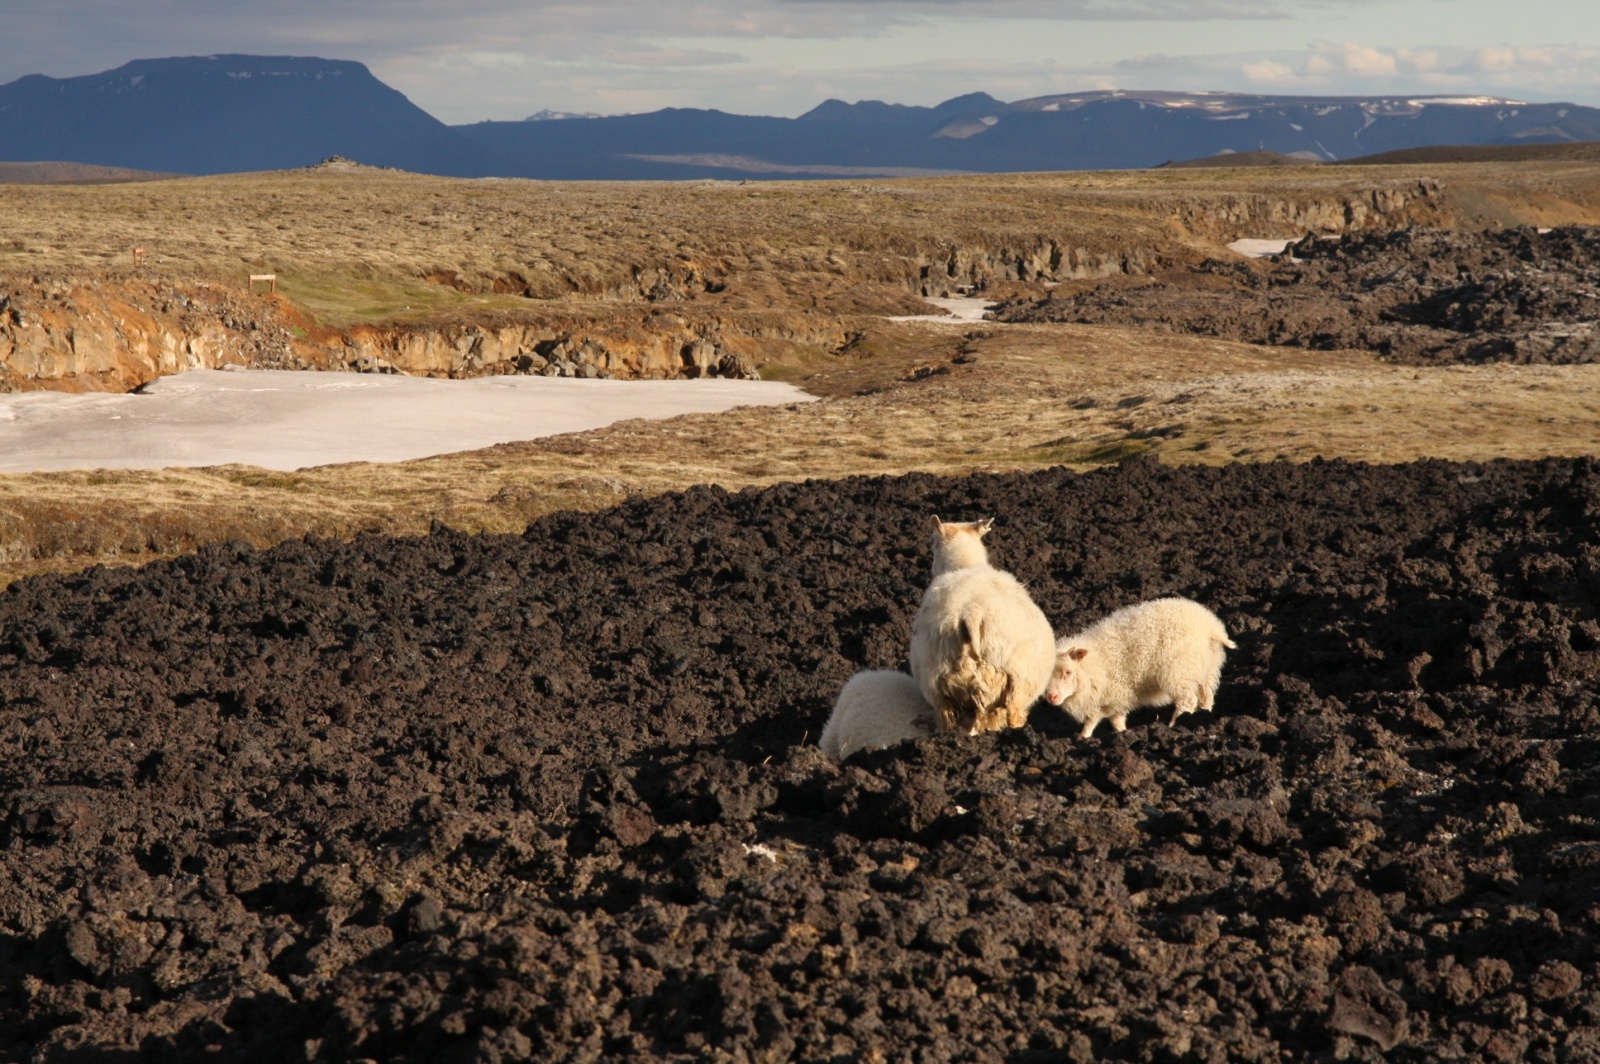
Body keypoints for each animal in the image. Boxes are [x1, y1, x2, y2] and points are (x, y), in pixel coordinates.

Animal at [908, 515, 1056, 736]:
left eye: (931, 541)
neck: (966, 565)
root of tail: (972, 613)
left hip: (937, 686)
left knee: (949, 721)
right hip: (1017, 685)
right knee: (1009, 718)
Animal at [1049, 598, 1235, 739]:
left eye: (1068, 672)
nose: (1052, 697)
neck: (1094, 665)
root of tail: (1210, 626)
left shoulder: (1113, 695)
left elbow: (1093, 719)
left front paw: (1083, 738)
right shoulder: (1117, 699)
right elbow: (1116, 721)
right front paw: (1123, 733)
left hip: (1179, 673)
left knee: (1187, 702)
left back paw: (1172, 726)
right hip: (1207, 671)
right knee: (1206, 699)